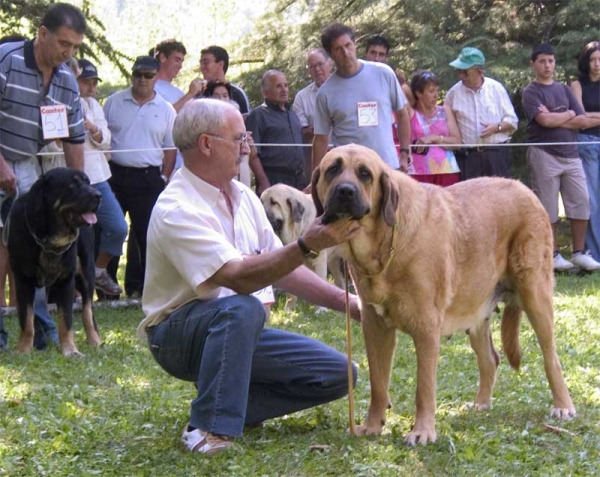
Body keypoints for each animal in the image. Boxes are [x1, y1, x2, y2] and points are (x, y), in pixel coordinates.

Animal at [7, 165, 102, 356]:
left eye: (88, 182)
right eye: (72, 185)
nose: (98, 195)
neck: (50, 239)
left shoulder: (66, 281)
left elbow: (66, 321)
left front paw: (70, 350)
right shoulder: (22, 281)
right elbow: (26, 319)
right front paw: (23, 349)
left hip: (87, 271)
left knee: (87, 310)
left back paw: (95, 340)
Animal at [312, 143, 576, 444]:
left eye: (365, 174)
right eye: (332, 169)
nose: (345, 191)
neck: (384, 243)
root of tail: (526, 190)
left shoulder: (426, 327)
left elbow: (424, 386)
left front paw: (422, 431)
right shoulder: (375, 326)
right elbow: (378, 382)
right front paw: (372, 425)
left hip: (535, 296)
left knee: (551, 357)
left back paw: (563, 405)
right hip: (476, 312)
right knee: (490, 359)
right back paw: (481, 404)